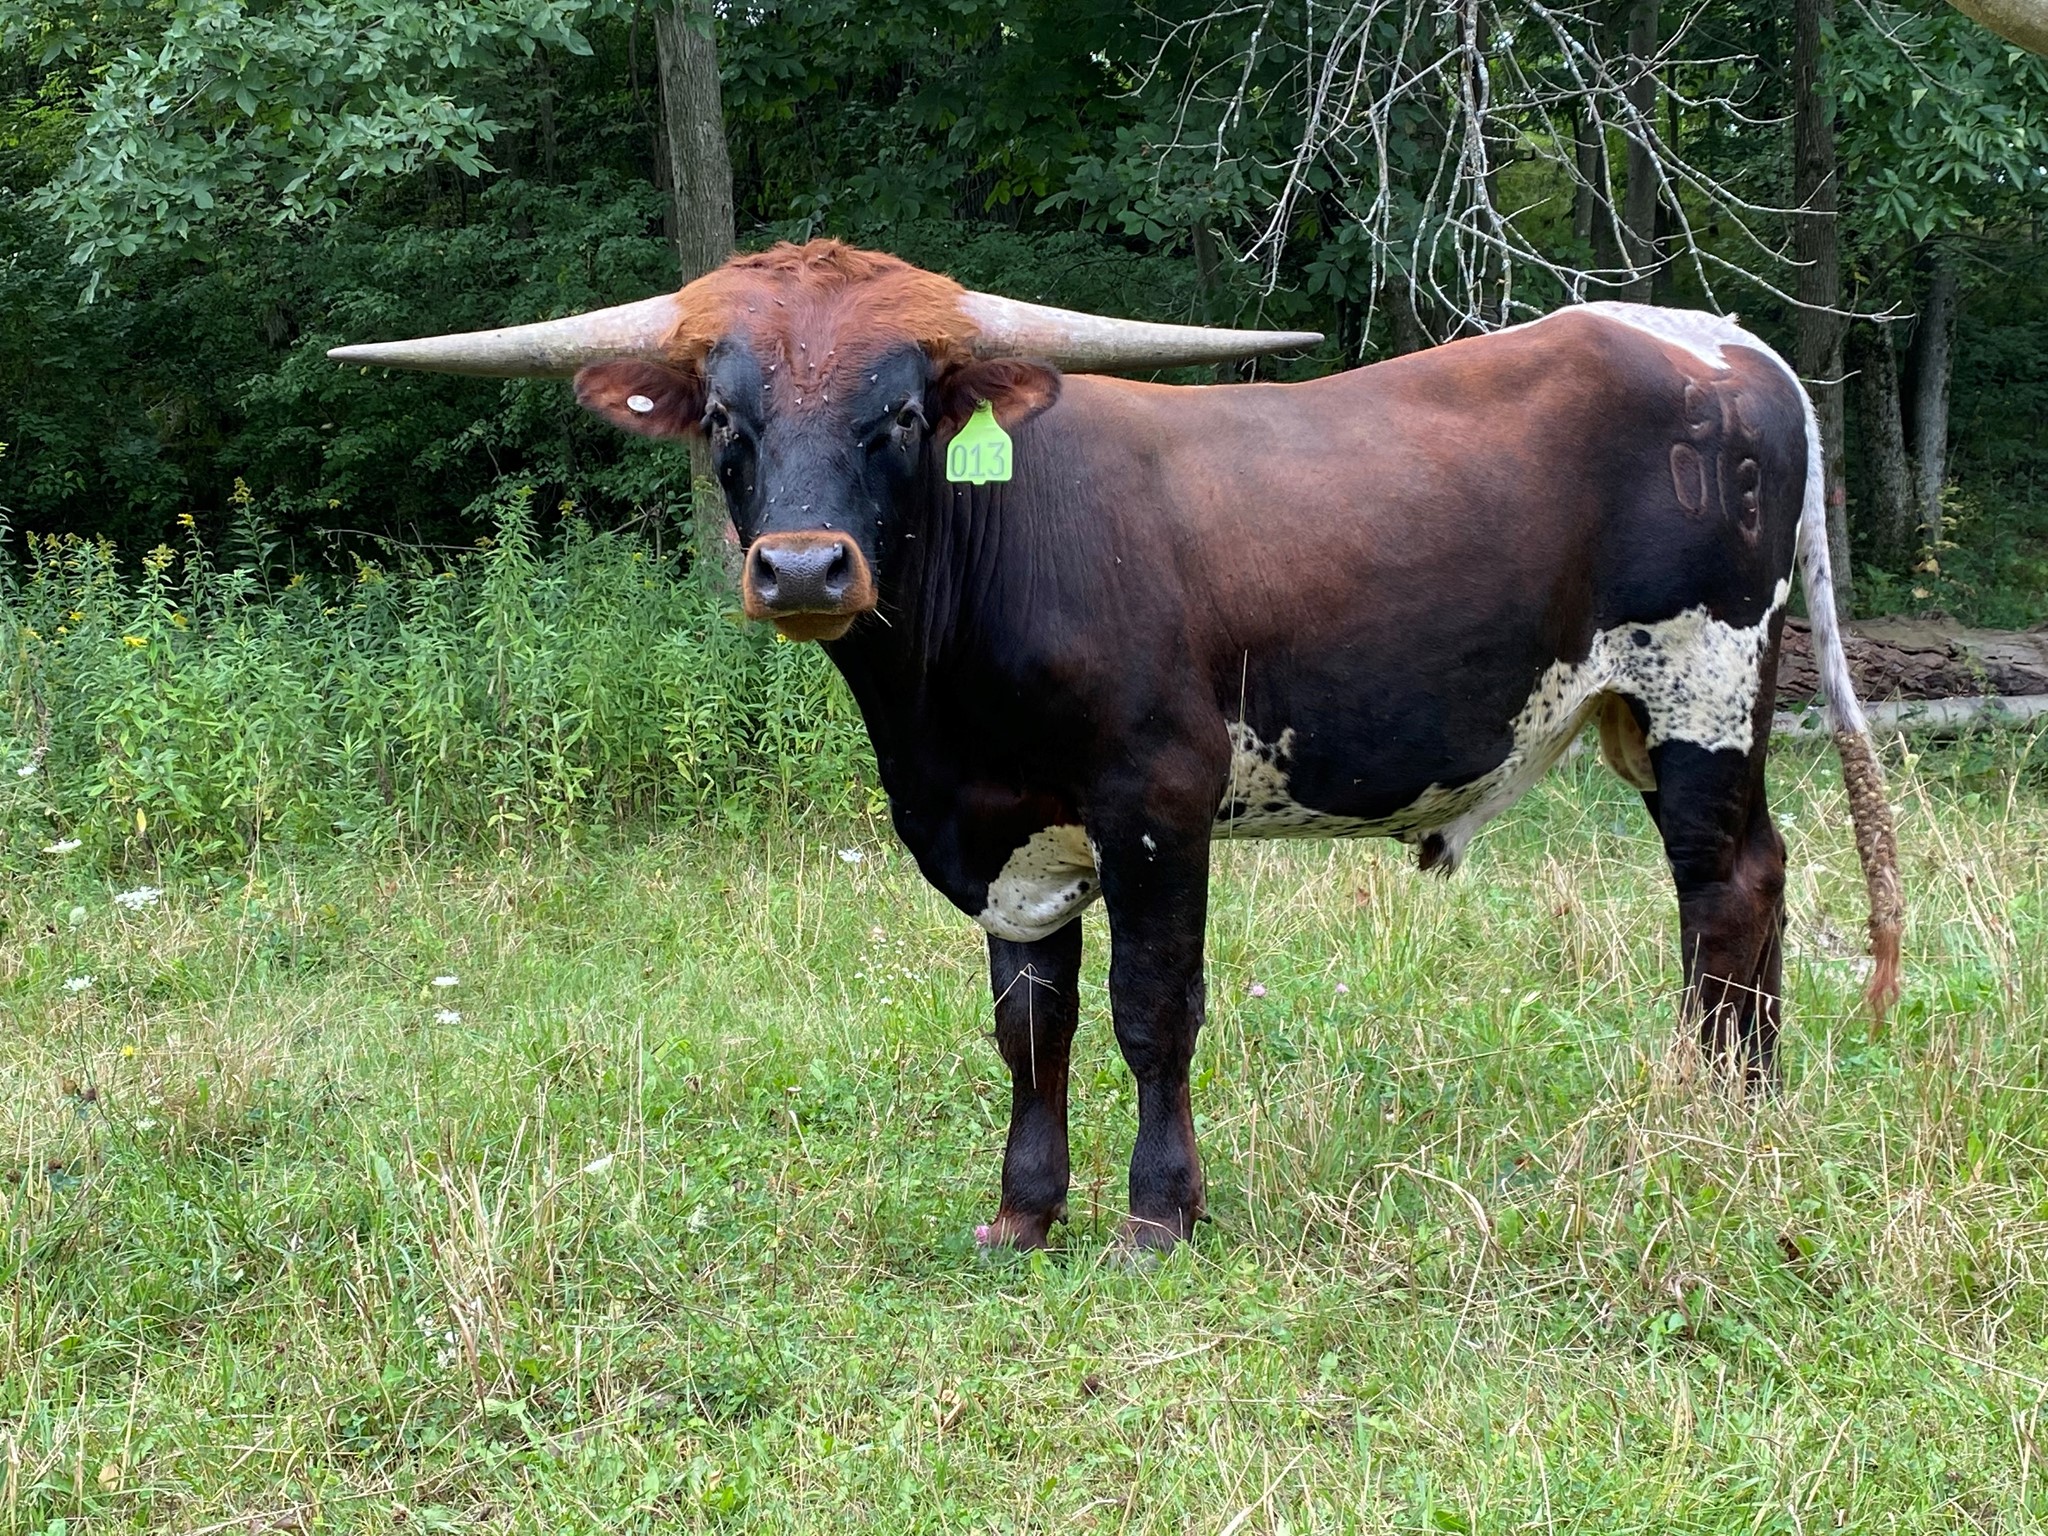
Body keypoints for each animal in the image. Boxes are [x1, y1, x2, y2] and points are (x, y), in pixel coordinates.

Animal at [332, 240, 1903, 1251]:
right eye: (725, 413)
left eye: (900, 413)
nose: (802, 569)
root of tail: (1714, 337)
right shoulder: (1004, 833)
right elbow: (1031, 1026)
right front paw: (1024, 1211)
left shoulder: (1158, 800)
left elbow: (1155, 1008)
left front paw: (1158, 1211)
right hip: (1646, 710)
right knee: (1751, 878)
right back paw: (1732, 1095)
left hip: (1705, 679)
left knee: (1725, 881)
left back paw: (1725, 1111)